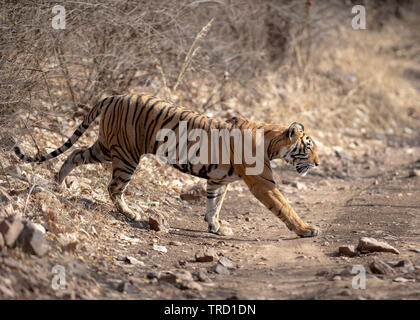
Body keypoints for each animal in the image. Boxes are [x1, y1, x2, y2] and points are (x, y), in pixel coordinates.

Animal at [14, 93, 320, 238]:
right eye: (308, 147)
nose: (318, 163)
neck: (272, 143)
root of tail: (114, 96)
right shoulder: (263, 184)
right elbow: (285, 207)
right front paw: (306, 229)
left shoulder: (218, 180)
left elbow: (214, 205)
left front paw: (216, 228)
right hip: (127, 156)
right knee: (113, 187)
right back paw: (131, 213)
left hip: (106, 146)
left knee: (76, 153)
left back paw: (59, 183)